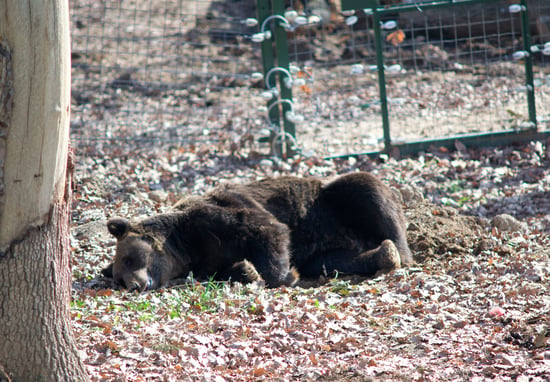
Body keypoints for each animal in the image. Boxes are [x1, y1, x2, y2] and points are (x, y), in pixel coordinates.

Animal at [102, 172, 414, 290]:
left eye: (128, 258)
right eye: (118, 277)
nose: (134, 284)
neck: (186, 242)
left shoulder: (216, 215)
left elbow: (267, 229)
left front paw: (283, 275)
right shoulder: (208, 257)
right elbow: (230, 266)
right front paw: (247, 270)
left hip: (333, 199)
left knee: (366, 189)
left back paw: (397, 250)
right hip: (329, 250)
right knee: (334, 261)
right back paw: (383, 254)